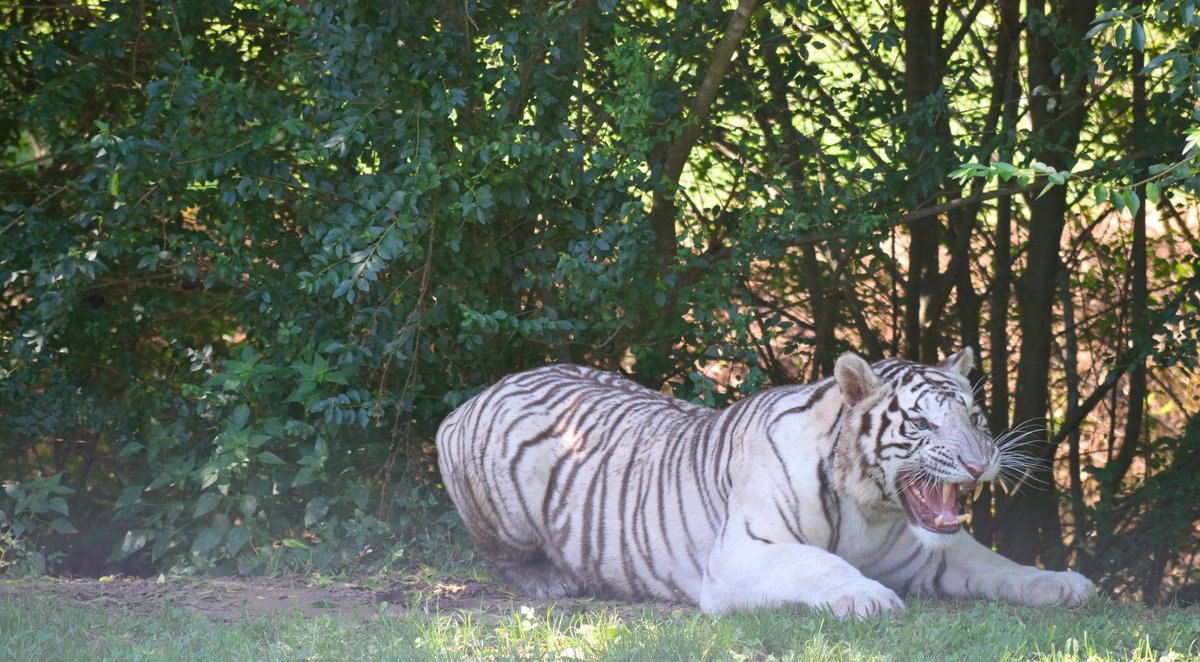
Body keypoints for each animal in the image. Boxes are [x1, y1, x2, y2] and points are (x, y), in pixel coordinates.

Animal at [435, 349, 1095, 616]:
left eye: (976, 418)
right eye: (924, 423)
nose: (981, 464)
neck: (873, 509)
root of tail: (483, 391)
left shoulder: (936, 552)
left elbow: (1003, 566)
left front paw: (1064, 584)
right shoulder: (743, 552)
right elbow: (821, 563)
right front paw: (869, 596)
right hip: (504, 506)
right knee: (504, 555)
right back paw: (551, 582)